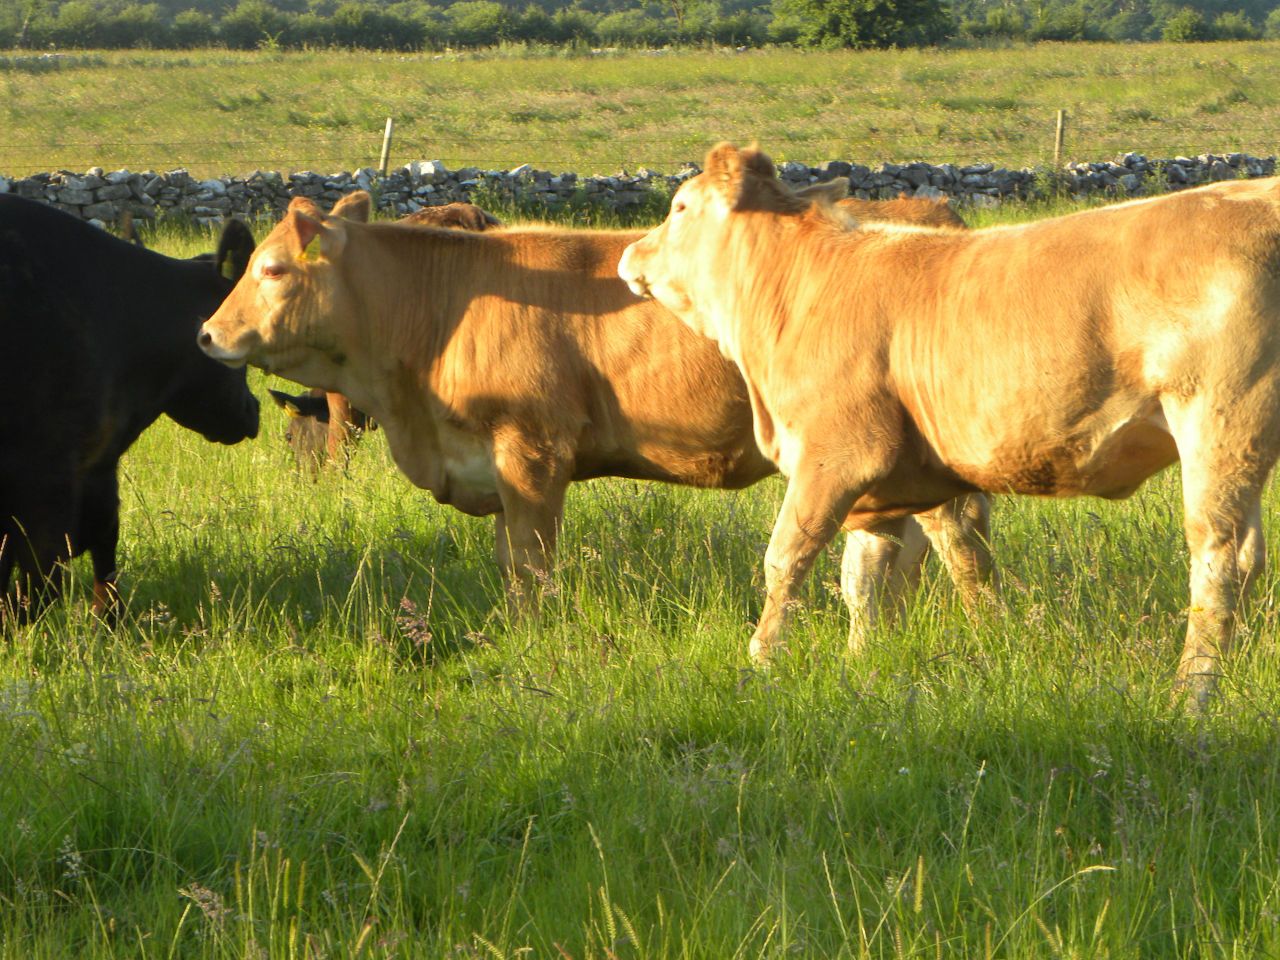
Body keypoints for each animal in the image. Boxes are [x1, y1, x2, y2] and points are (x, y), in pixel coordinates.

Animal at [197, 191, 994, 642]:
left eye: (273, 269)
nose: (206, 334)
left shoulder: (532, 454)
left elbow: (530, 566)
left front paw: (531, 642)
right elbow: (509, 562)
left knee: (961, 545)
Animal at [619, 141, 1280, 708]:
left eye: (680, 207)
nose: (630, 256)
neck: (798, 290)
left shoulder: (836, 454)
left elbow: (786, 560)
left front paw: (760, 661)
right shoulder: (890, 486)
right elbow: (873, 579)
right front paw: (864, 666)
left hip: (1220, 421)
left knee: (1222, 561)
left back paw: (1191, 697)